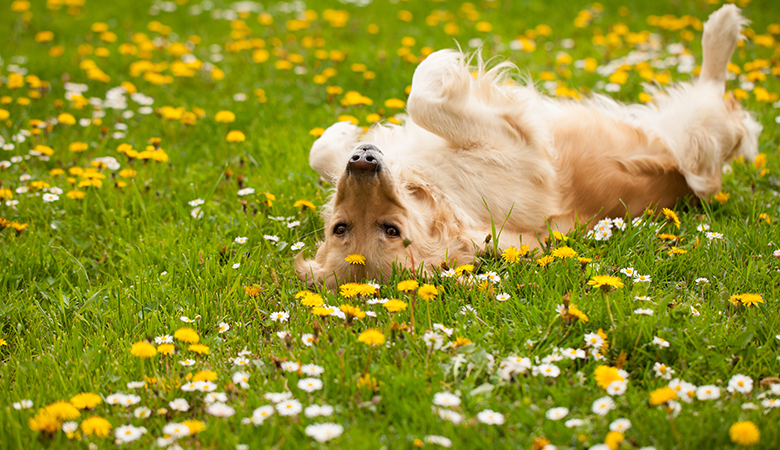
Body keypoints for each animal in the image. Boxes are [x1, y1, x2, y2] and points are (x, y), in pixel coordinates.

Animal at [298, 5, 760, 286]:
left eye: (338, 227)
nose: (363, 160)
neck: (439, 194)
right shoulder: (520, 144)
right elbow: (423, 99)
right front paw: (442, 64)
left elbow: (322, 151)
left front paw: (341, 132)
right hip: (695, 135)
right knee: (719, 101)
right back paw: (723, 27)